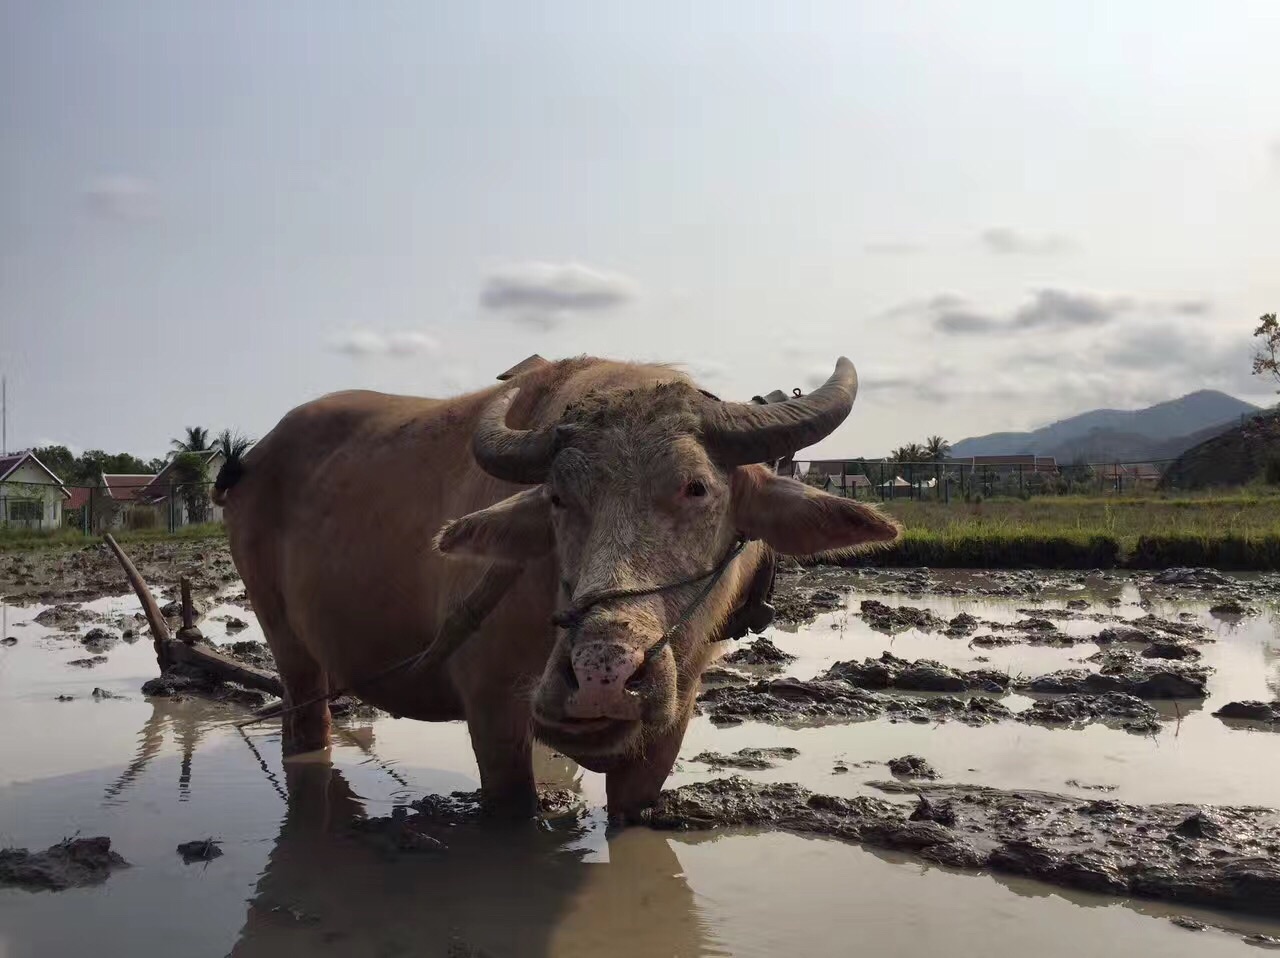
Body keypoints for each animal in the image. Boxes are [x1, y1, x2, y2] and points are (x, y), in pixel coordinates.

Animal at [217, 356, 901, 819]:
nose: (602, 672)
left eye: (697, 488)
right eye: (557, 498)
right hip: (286, 642)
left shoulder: (668, 727)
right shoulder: (492, 711)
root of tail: (247, 461)